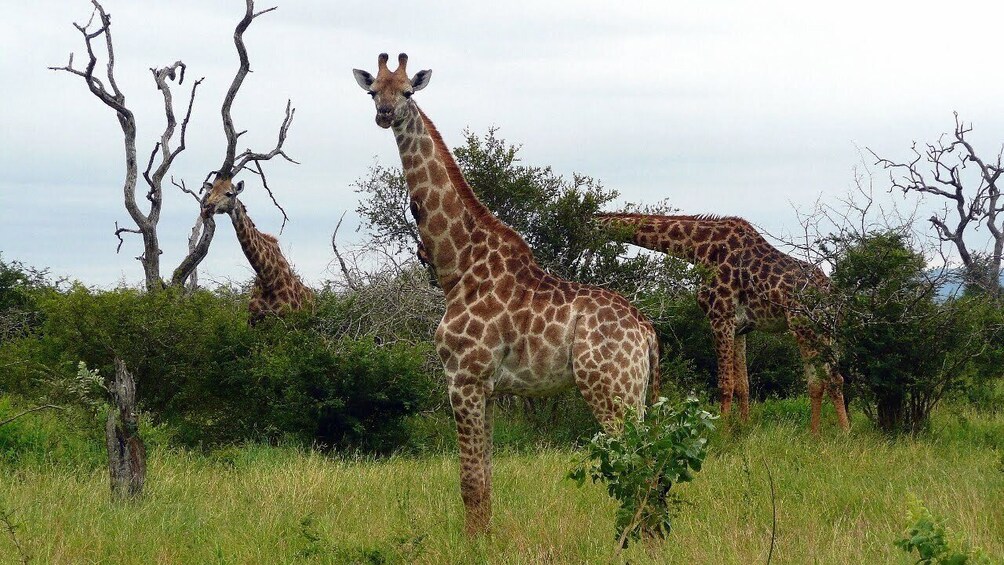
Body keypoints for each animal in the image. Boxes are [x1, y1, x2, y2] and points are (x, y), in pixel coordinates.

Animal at [201, 177, 314, 325]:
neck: (268, 278)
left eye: (229, 193)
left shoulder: (287, 321)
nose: (206, 208)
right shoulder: (252, 321)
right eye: (209, 193)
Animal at [353, 54, 660, 535]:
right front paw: (485, 539)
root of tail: (646, 331)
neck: (458, 266)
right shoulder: (490, 389)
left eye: (407, 92)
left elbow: (469, 482)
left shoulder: (463, 377)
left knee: (641, 465)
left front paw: (473, 543)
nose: (384, 114)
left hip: (610, 389)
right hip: (634, 392)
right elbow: (487, 479)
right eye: (372, 92)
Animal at [595, 213, 850, 434]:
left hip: (805, 327)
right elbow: (743, 385)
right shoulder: (741, 328)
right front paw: (744, 428)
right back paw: (820, 433)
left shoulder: (720, 317)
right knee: (826, 380)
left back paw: (838, 433)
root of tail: (834, 296)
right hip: (823, 331)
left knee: (826, 379)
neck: (699, 247)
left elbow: (725, 385)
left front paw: (722, 434)